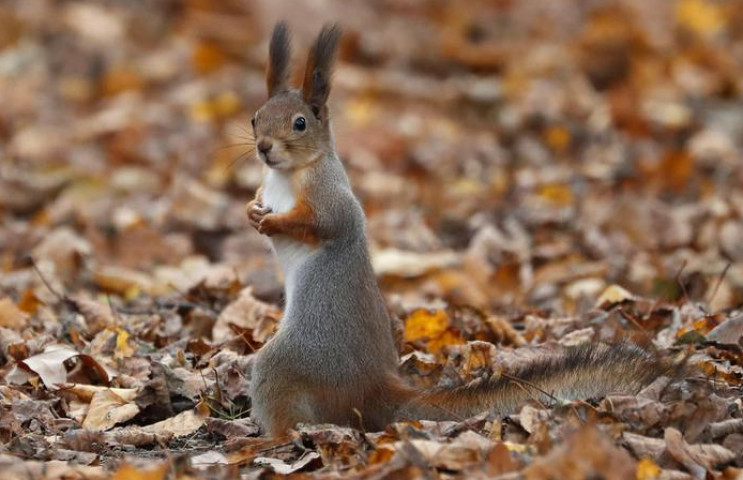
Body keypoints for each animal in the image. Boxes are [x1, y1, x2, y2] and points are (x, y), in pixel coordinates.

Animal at [246, 21, 676, 436]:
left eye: (300, 123)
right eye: (255, 117)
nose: (264, 147)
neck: (287, 174)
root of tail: (375, 392)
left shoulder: (330, 193)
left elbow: (328, 223)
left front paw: (275, 220)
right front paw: (252, 210)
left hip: (292, 361)